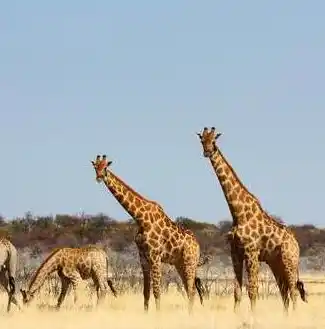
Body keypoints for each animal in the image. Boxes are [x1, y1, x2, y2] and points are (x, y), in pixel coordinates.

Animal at [90, 154, 209, 312]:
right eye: (95, 167)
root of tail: (197, 246)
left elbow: (157, 291)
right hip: (180, 264)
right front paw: (146, 313)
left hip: (190, 262)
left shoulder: (155, 256)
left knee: (192, 290)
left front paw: (158, 315)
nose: (99, 177)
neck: (140, 218)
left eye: (105, 167)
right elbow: (146, 292)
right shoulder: (143, 257)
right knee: (189, 289)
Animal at [195, 126, 306, 312]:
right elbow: (237, 291)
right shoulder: (235, 252)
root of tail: (296, 244)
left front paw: (253, 316)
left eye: (214, 140)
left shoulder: (251, 252)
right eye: (202, 140)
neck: (238, 213)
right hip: (276, 264)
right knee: (284, 292)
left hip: (289, 261)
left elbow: (253, 289)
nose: (207, 152)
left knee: (293, 291)